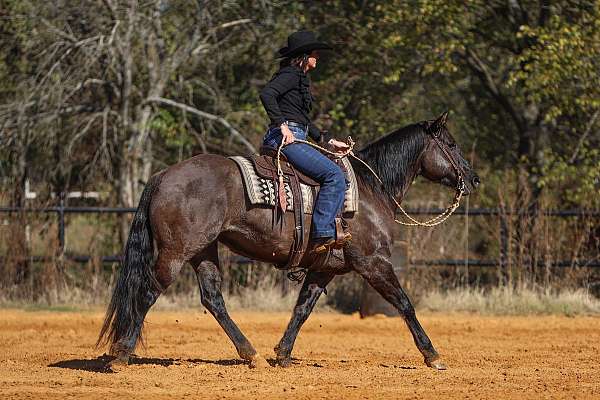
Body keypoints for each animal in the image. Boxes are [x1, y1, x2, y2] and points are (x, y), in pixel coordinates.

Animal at [98, 111, 480, 370]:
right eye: (451, 144)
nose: (473, 178)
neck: (371, 191)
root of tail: (164, 175)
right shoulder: (373, 262)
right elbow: (404, 304)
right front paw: (432, 355)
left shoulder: (324, 268)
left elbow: (303, 309)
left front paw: (282, 354)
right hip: (176, 252)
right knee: (148, 291)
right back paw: (121, 354)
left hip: (203, 250)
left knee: (212, 298)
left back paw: (251, 354)